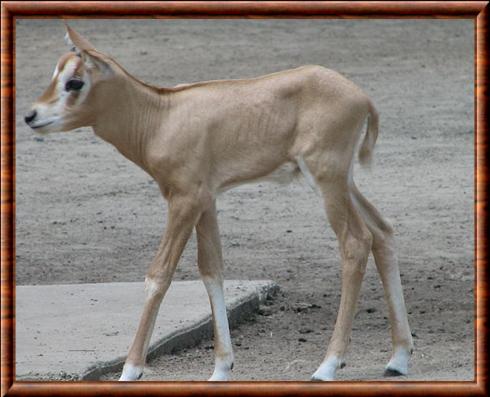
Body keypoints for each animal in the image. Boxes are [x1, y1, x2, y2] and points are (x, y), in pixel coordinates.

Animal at [23, 25, 414, 380]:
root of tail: (361, 97)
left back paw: (327, 366)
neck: (160, 117)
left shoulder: (184, 200)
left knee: (355, 241)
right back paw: (397, 359)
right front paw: (222, 369)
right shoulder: (206, 201)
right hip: (343, 181)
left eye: (75, 81)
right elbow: (212, 269)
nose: (31, 116)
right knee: (382, 230)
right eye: (56, 74)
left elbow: (159, 274)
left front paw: (130, 371)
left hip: (327, 179)